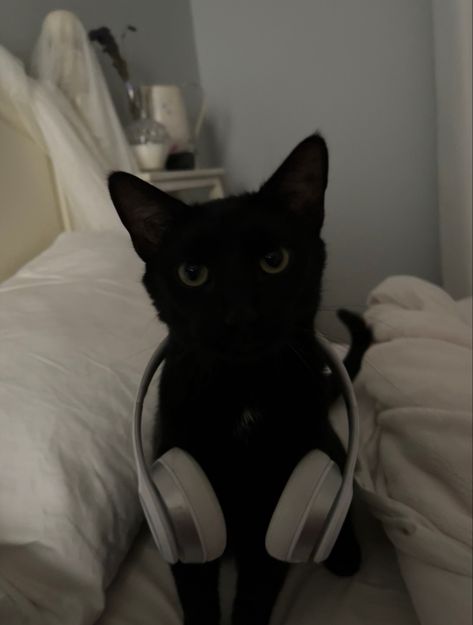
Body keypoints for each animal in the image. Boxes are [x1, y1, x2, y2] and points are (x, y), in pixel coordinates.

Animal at [109, 134, 370, 620]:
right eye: (192, 274)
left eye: (274, 260)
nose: (241, 315)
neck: (241, 391)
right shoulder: (178, 498)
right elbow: (195, 587)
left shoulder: (276, 504)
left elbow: (257, 589)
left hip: (325, 445)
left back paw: (345, 553)